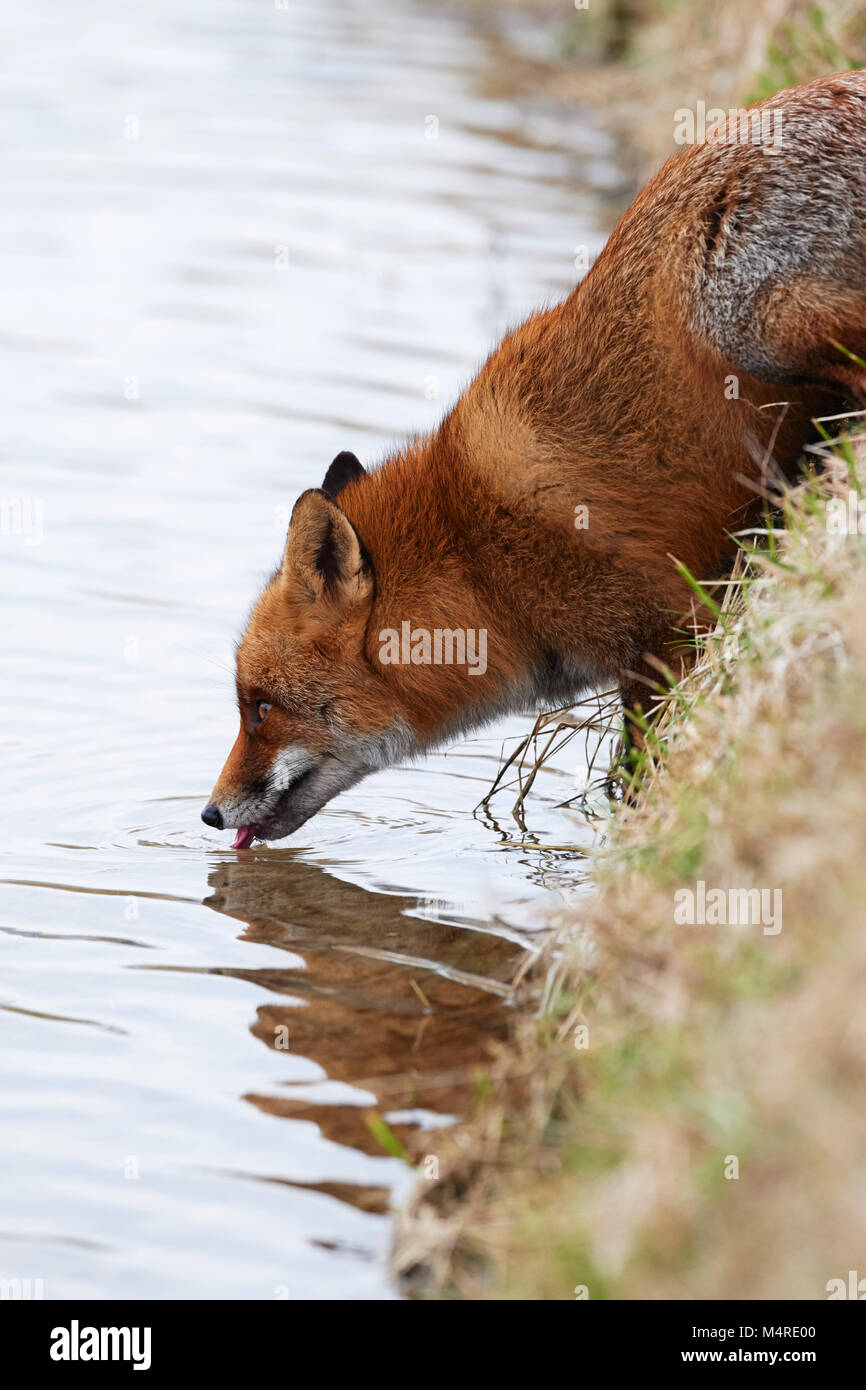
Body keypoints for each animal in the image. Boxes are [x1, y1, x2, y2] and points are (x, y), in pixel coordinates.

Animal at [202, 73, 866, 845]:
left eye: (261, 708)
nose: (209, 813)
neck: (478, 560)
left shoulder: (672, 631)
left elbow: (637, 776)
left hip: (742, 319)